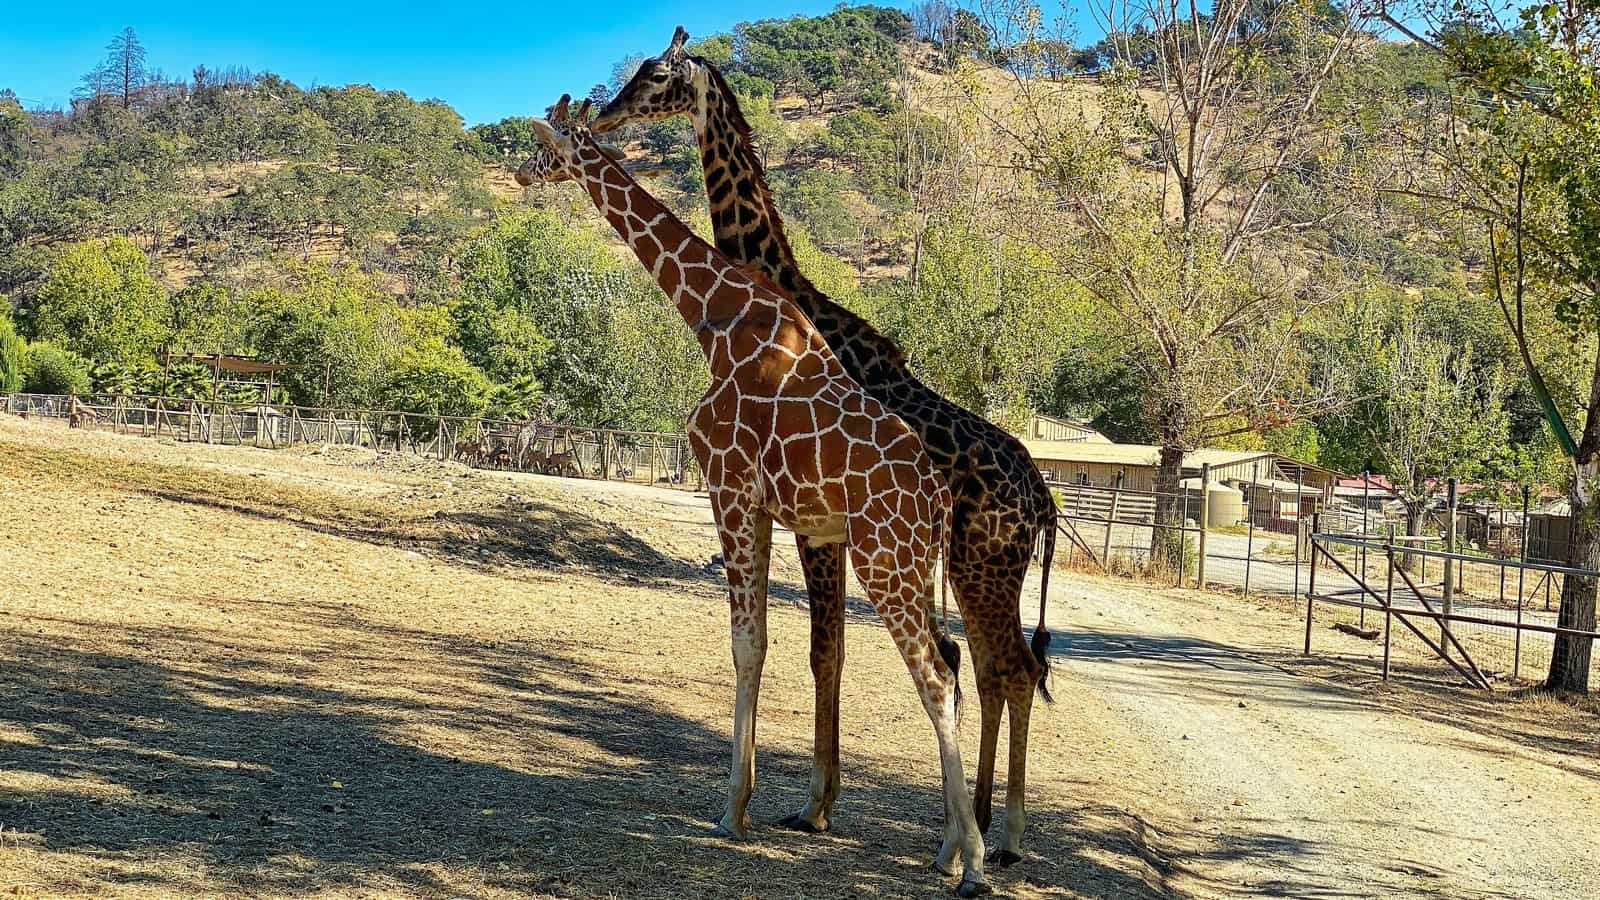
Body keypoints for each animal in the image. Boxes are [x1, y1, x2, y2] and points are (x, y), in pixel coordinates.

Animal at [515, 94, 985, 890]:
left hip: (882, 559)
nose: (520, 170)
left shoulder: (728, 487)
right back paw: (951, 844)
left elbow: (745, 644)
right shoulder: (767, 507)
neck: (715, 319)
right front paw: (752, 800)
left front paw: (732, 807)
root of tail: (937, 495)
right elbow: (762, 643)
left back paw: (973, 861)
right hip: (914, 563)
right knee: (950, 665)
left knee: (933, 675)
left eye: (547, 144)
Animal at [592, 28, 1062, 864]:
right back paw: (975, 827)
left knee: (1008, 667)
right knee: (1002, 667)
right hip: (976, 570)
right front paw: (817, 804)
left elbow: (822, 650)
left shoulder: (815, 528)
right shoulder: (822, 527)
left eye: (654, 75)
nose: (606, 113)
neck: (781, 287)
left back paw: (995, 837)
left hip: (980, 565)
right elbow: (828, 651)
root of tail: (1041, 499)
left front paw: (812, 803)